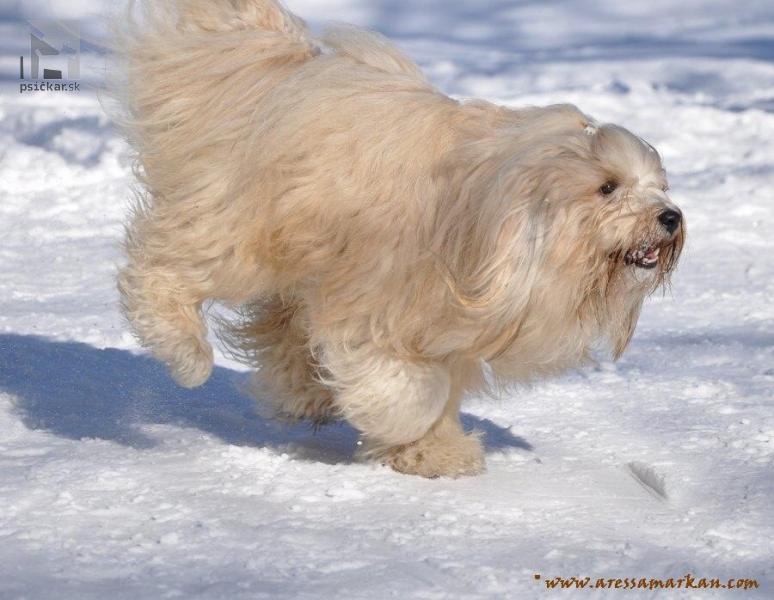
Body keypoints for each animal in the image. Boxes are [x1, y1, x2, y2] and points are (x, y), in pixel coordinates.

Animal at [115, 0, 684, 478]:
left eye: (660, 185)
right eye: (607, 187)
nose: (671, 217)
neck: (496, 225)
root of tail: (282, 69)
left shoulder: (447, 329)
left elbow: (437, 388)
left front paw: (432, 452)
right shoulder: (377, 302)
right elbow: (408, 388)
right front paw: (404, 428)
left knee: (283, 325)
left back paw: (302, 393)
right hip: (241, 233)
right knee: (163, 270)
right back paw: (185, 351)